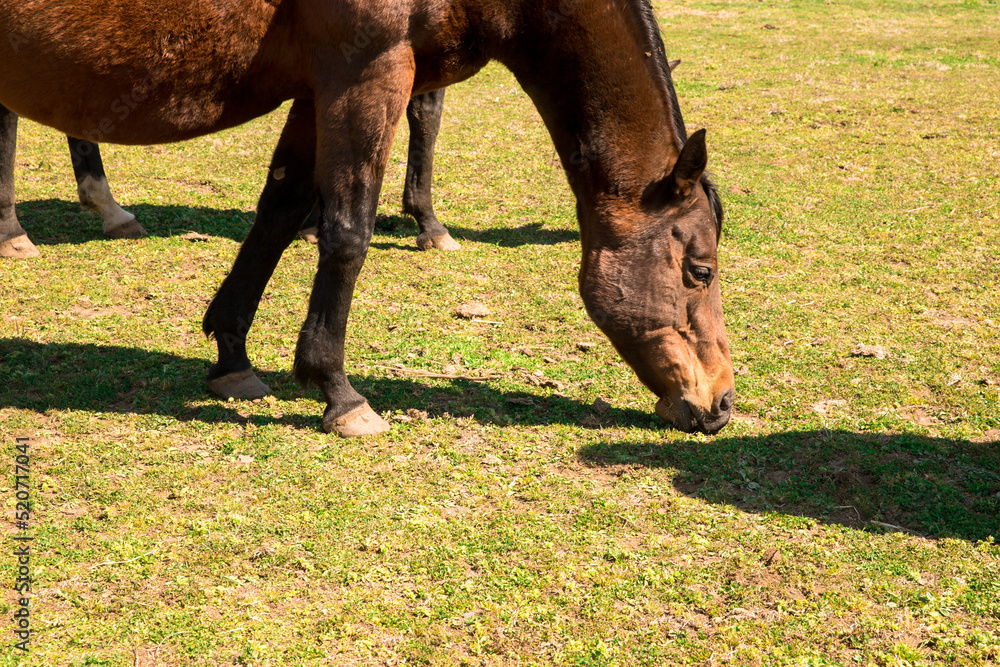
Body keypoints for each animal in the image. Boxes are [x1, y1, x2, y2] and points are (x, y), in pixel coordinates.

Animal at [0, 0, 735, 436]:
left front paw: (232, 355)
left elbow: (279, 212)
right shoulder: (367, 71)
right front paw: (338, 390)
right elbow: (347, 233)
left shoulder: (317, 90)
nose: (722, 403)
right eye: (699, 270)